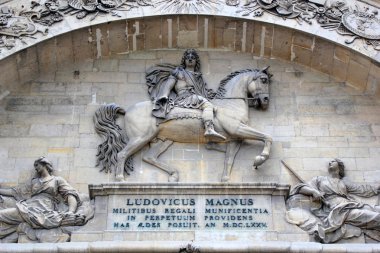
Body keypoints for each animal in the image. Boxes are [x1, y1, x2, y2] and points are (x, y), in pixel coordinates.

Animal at [95, 67, 274, 182]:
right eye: (264, 80)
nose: (265, 100)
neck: (230, 104)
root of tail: (127, 110)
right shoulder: (238, 129)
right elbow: (267, 137)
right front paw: (260, 159)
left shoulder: (235, 138)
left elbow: (228, 159)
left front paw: (225, 180)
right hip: (141, 138)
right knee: (122, 154)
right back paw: (120, 179)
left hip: (164, 140)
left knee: (149, 156)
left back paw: (174, 174)